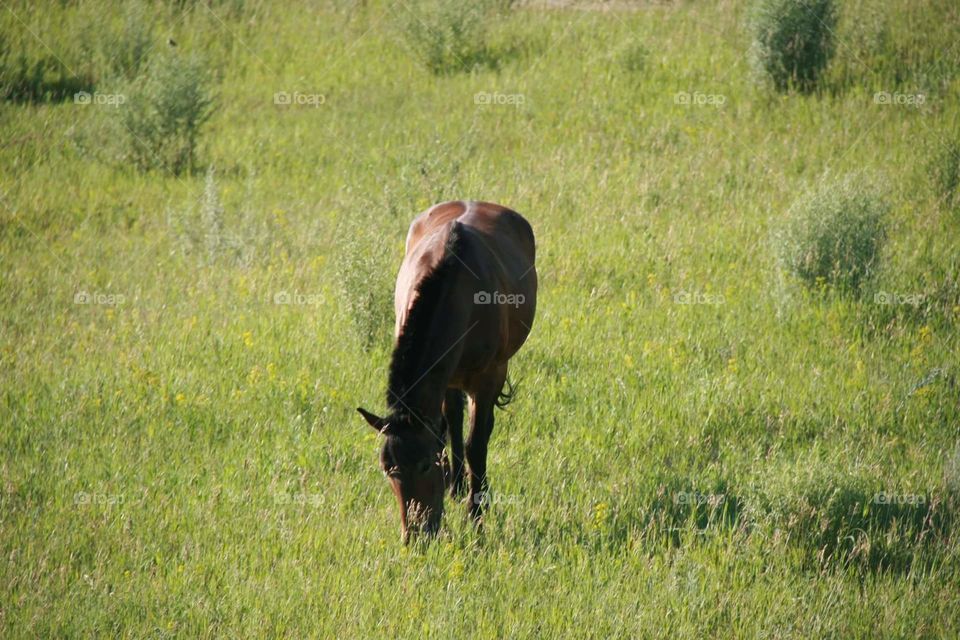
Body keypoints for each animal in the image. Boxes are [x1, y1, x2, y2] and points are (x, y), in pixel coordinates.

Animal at [357, 200, 537, 543]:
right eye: (387, 469)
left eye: (426, 466)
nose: (415, 536)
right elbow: (446, 430)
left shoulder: (489, 375)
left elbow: (476, 444)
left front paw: (476, 518)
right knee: (452, 416)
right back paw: (457, 486)